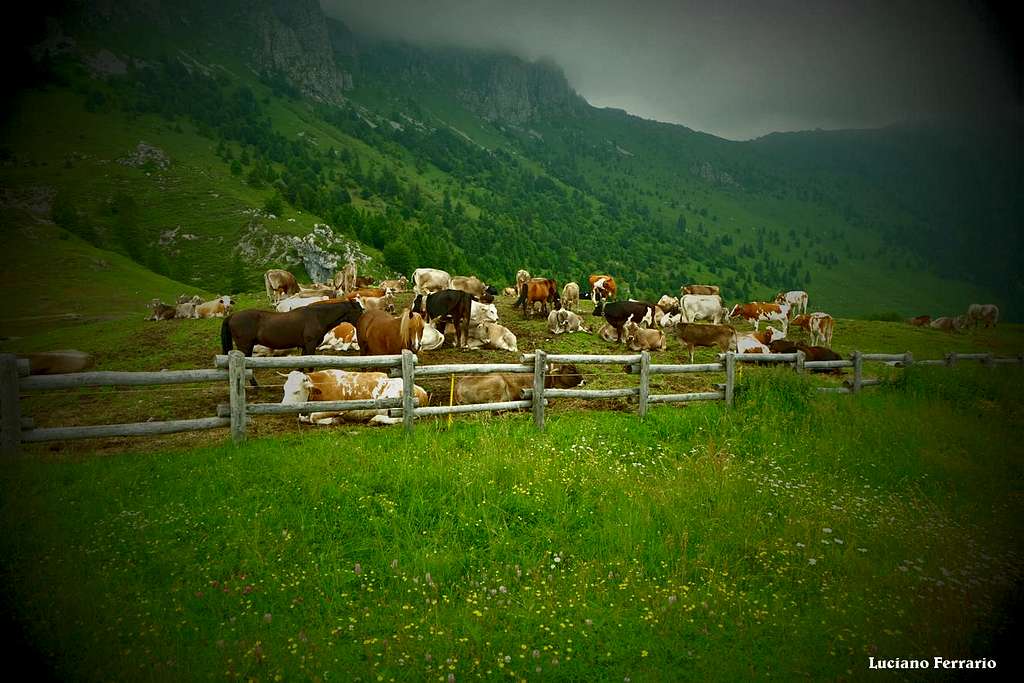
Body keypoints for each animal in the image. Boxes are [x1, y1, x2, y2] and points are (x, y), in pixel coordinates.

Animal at [280, 368, 428, 428]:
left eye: (296, 391)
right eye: (284, 389)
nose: (283, 407)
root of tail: (422, 391)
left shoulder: (337, 407)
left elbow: (313, 417)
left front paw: (335, 420)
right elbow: (303, 417)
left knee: (399, 417)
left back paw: (375, 420)